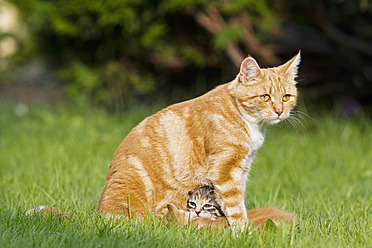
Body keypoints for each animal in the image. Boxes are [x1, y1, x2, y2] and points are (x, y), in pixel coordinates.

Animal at [99, 51, 302, 231]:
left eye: (286, 97)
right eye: (265, 97)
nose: (279, 111)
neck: (245, 118)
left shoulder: (242, 169)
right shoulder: (225, 171)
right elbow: (236, 208)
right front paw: (244, 233)